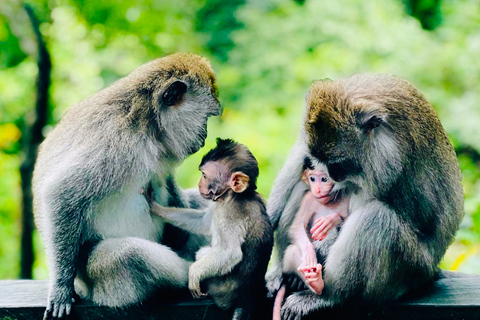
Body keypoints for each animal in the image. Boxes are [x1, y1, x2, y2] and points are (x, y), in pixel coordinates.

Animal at [151, 138, 270, 320]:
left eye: (205, 175)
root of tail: (248, 300)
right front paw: (158, 209)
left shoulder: (228, 214)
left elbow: (230, 253)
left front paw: (194, 273)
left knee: (204, 253)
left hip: (220, 291)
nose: (200, 184)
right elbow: (203, 222)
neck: (235, 196)